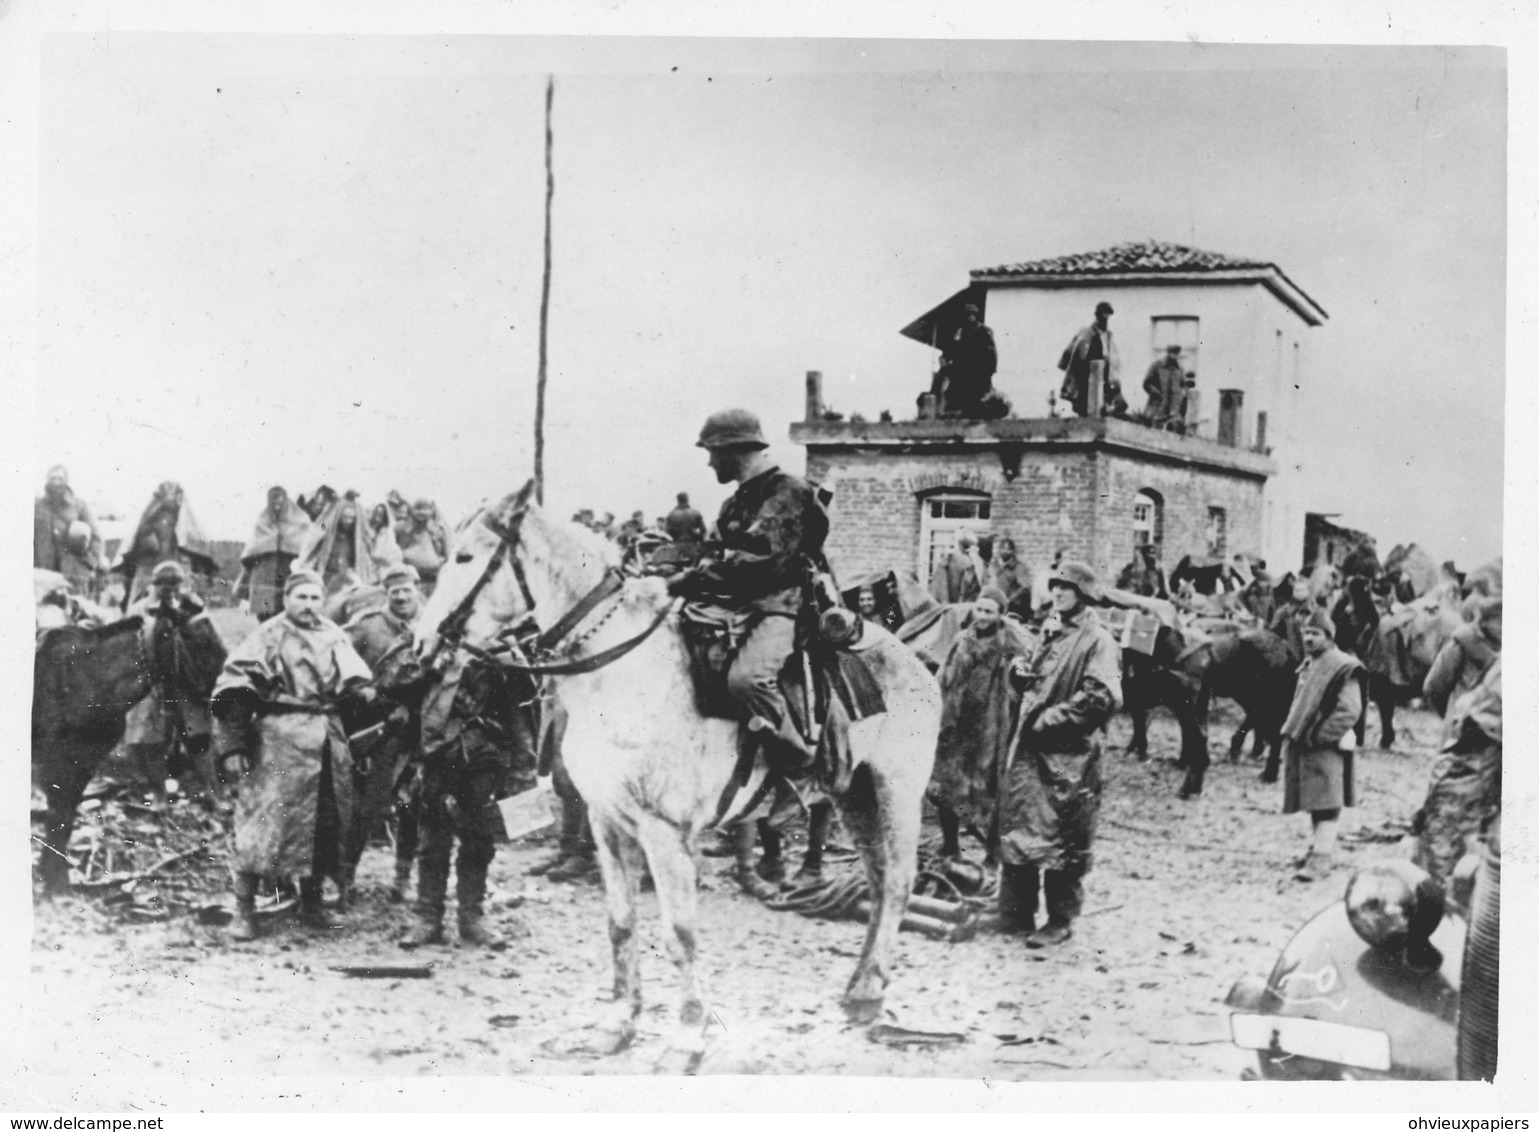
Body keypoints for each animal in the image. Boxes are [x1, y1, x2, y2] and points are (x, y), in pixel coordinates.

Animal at [415, 482, 941, 1064]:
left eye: (466, 558)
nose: (421, 644)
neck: (617, 667)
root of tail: (911, 658)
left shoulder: (665, 833)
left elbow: (680, 932)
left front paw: (689, 1033)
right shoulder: (607, 823)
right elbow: (621, 925)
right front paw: (617, 1024)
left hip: (896, 794)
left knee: (897, 883)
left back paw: (869, 991)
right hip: (855, 796)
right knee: (877, 883)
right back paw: (861, 991)